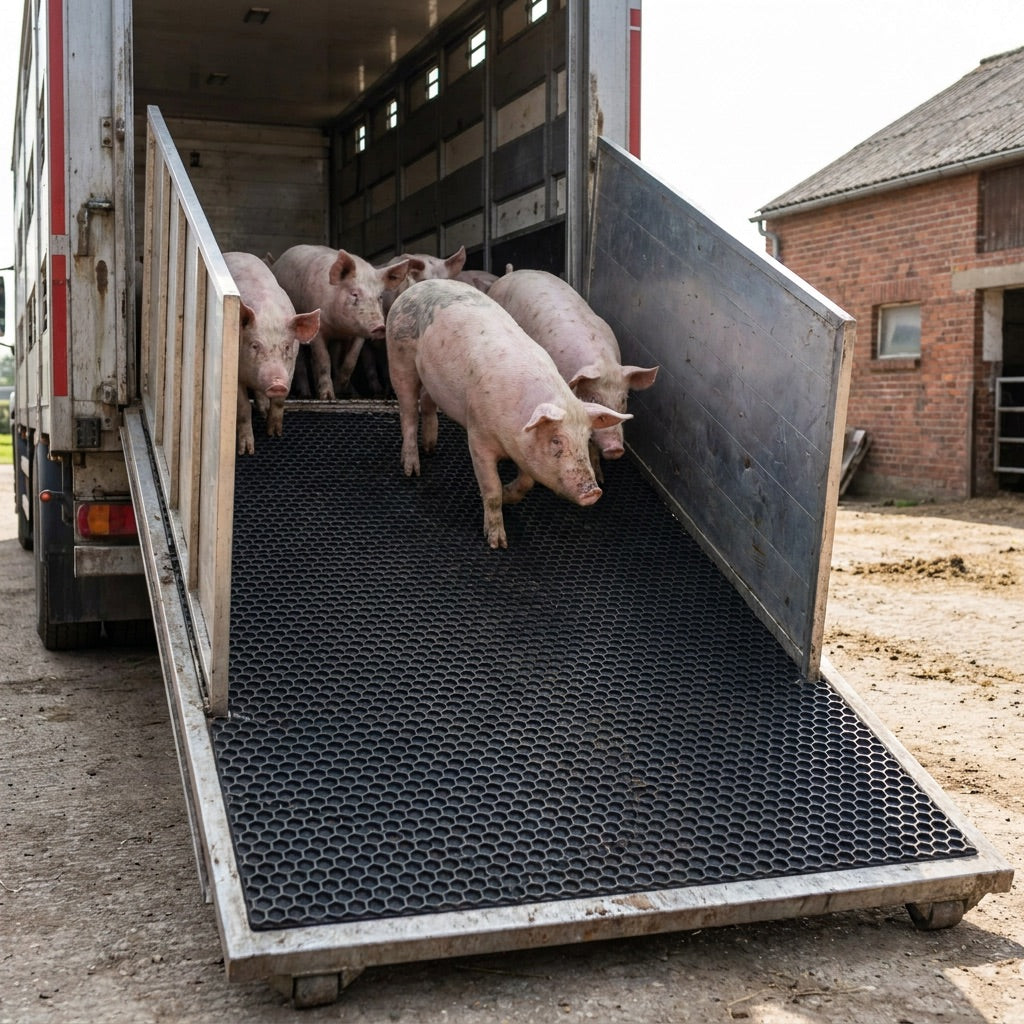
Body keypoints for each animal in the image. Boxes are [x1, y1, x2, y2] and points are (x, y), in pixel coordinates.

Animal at [224, 251, 321, 455]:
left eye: (286, 347)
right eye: (255, 346)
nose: (277, 383)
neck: (269, 315)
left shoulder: (290, 369)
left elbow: (279, 402)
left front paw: (274, 434)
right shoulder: (236, 374)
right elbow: (243, 408)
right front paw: (246, 451)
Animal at [270, 245, 412, 401]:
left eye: (379, 296)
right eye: (354, 294)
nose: (380, 327)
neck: (340, 327)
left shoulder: (358, 336)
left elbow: (350, 361)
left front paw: (339, 391)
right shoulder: (318, 330)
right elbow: (323, 359)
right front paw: (327, 397)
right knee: (302, 362)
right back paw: (306, 395)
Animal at [386, 279, 631, 549]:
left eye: (586, 439)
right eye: (557, 440)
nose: (594, 492)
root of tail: (418, 285)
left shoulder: (523, 450)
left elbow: (527, 482)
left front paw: (508, 495)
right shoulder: (478, 438)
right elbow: (490, 489)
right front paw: (498, 542)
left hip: (432, 381)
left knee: (427, 402)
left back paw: (430, 447)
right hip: (398, 356)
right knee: (408, 412)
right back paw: (412, 469)